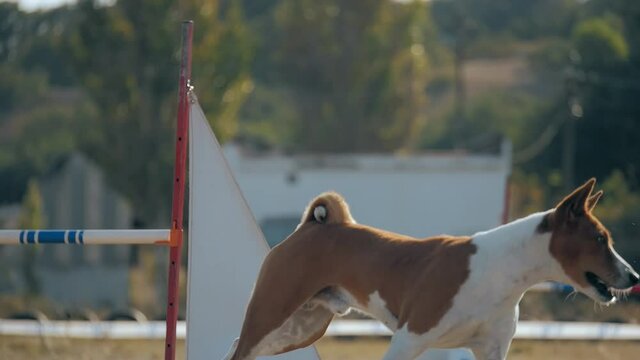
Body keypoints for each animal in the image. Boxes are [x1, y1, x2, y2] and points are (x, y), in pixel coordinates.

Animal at [224, 179, 636, 360]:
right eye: (600, 239)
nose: (634, 277)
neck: (500, 272)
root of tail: (314, 224)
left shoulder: (491, 350)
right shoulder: (408, 340)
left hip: (297, 330)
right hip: (270, 316)